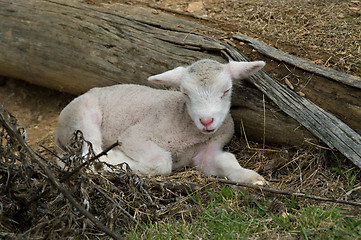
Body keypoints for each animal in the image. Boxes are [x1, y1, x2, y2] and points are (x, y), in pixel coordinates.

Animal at [54, 58, 266, 186]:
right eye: (185, 93)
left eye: (226, 91)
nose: (206, 121)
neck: (186, 124)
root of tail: (57, 133)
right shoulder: (134, 136)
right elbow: (162, 162)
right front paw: (120, 159)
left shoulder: (208, 150)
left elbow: (226, 160)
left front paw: (253, 178)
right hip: (82, 115)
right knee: (87, 154)